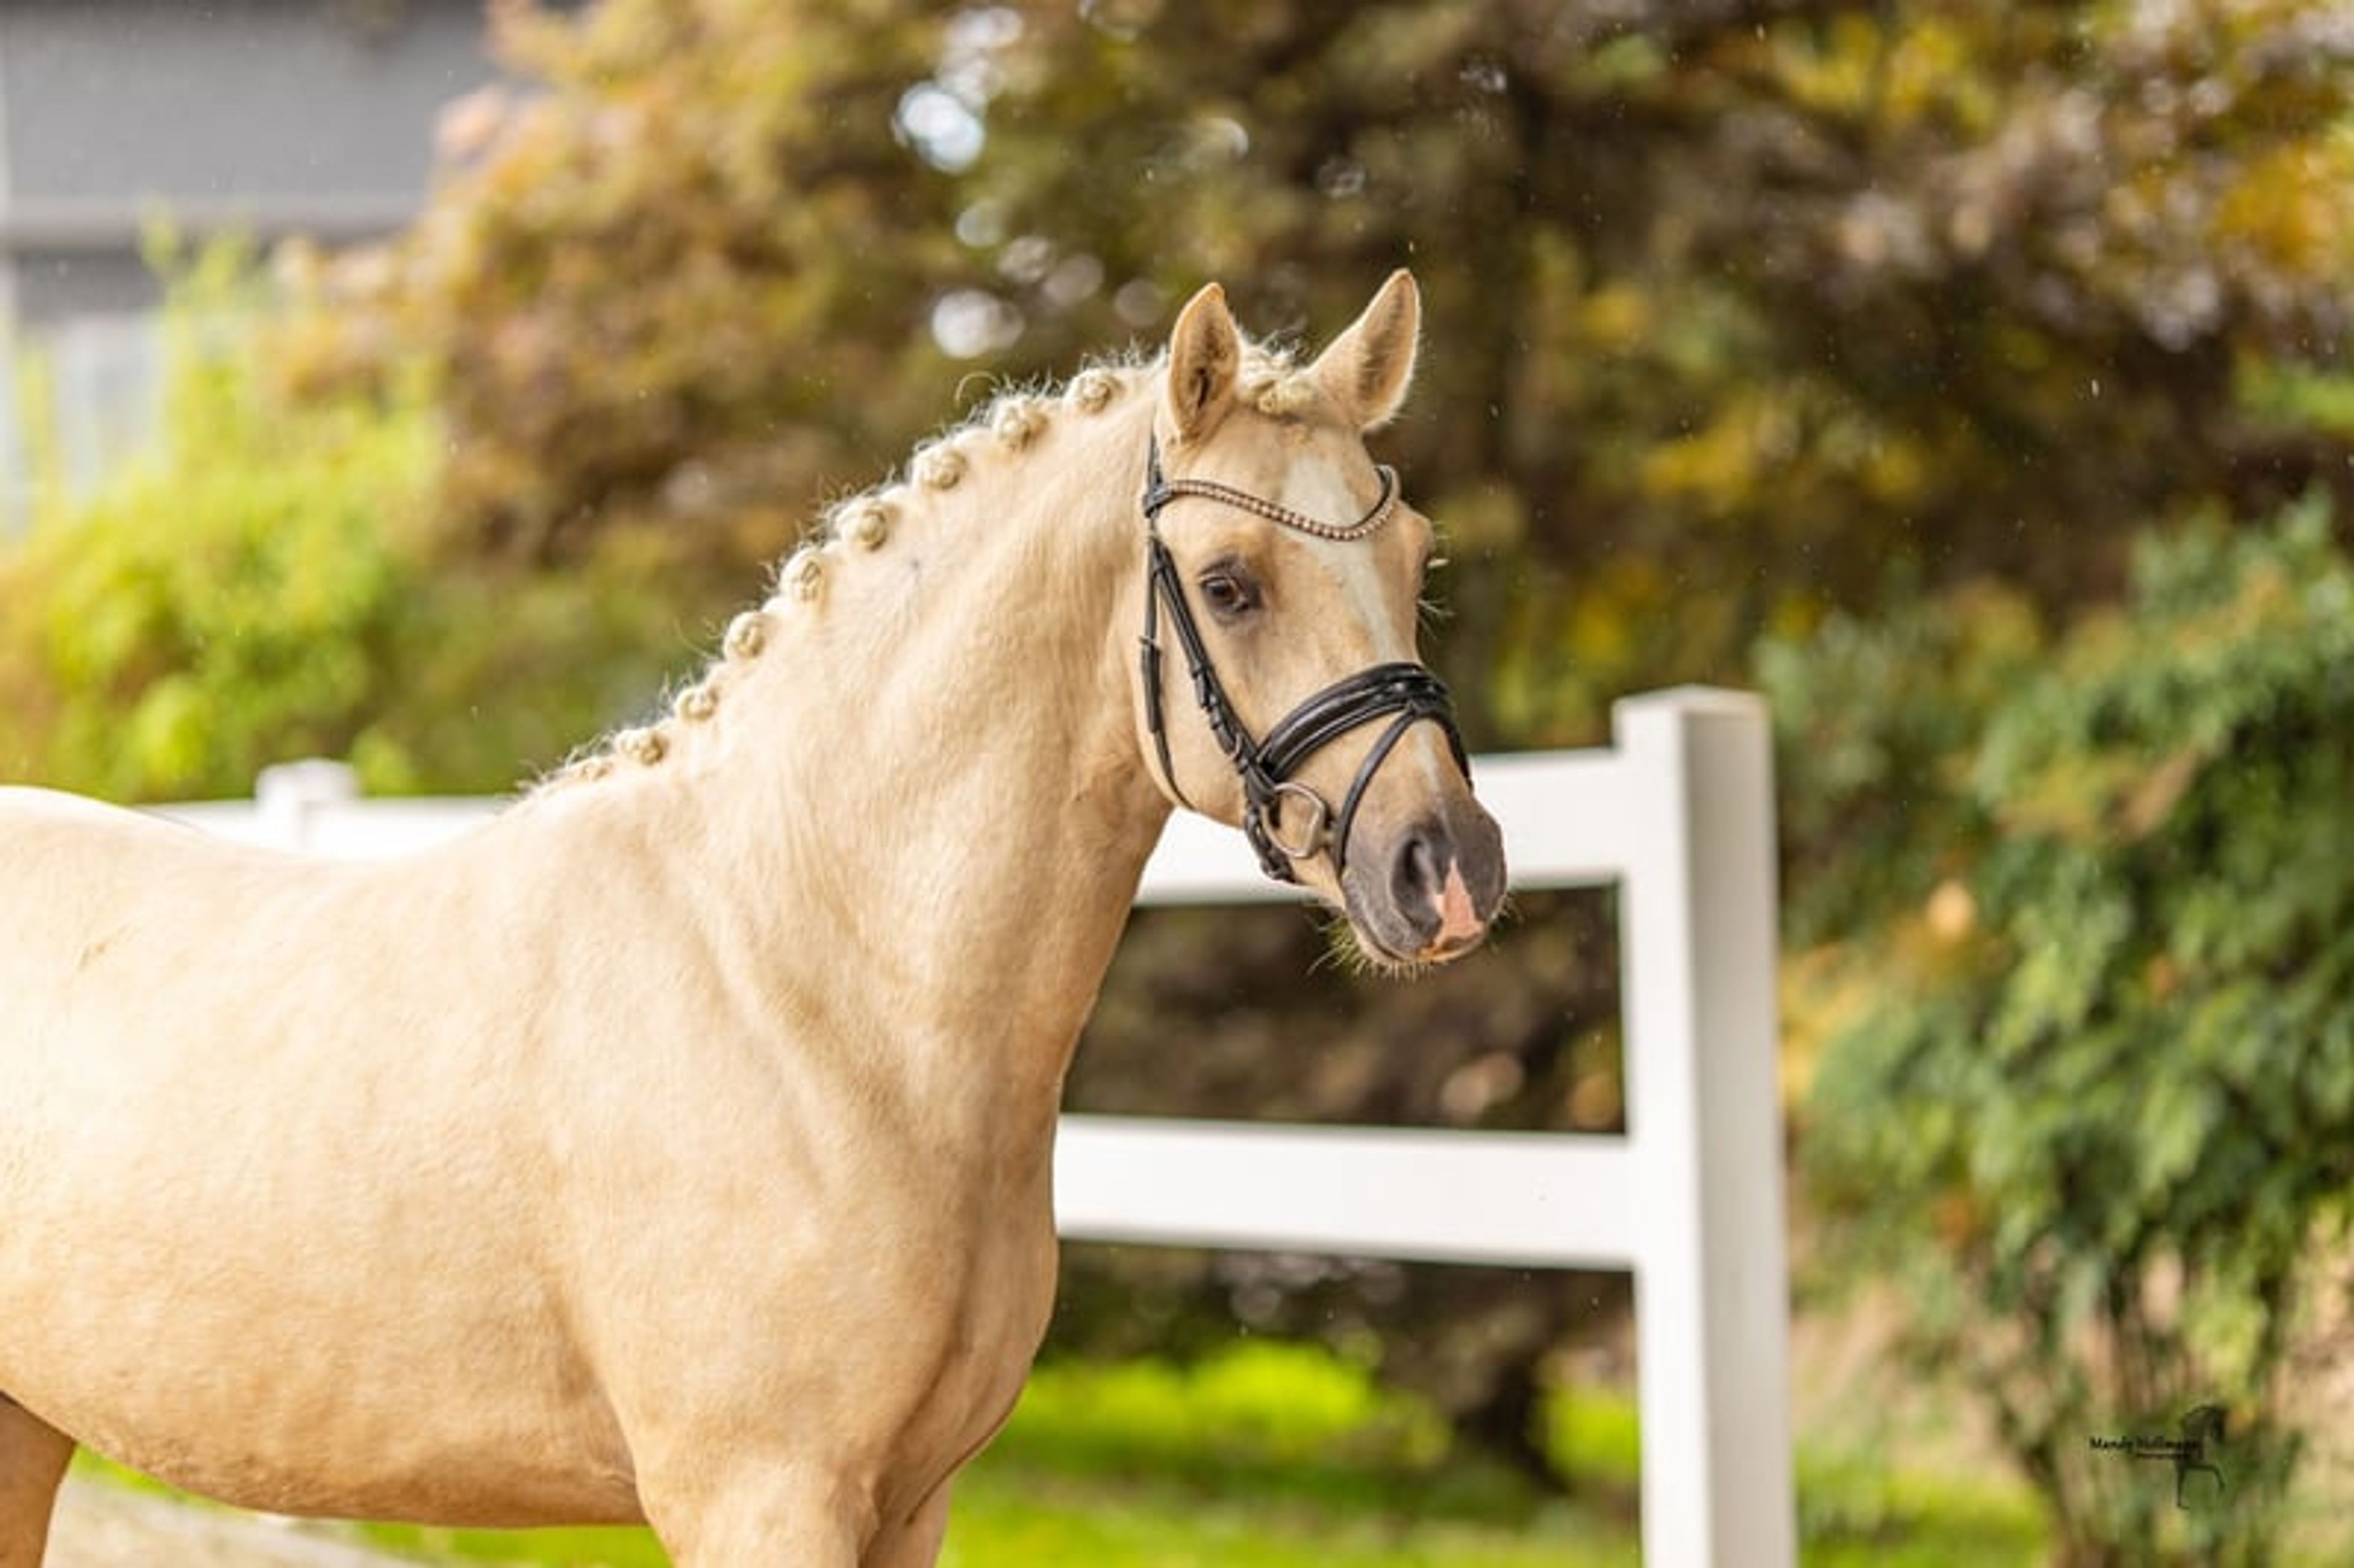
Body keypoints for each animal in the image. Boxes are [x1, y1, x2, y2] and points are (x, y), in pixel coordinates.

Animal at [0, 270, 1505, 1566]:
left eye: (1414, 555)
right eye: (1230, 583)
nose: (1446, 867)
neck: (810, 990)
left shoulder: (909, 1507)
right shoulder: (762, 1498)